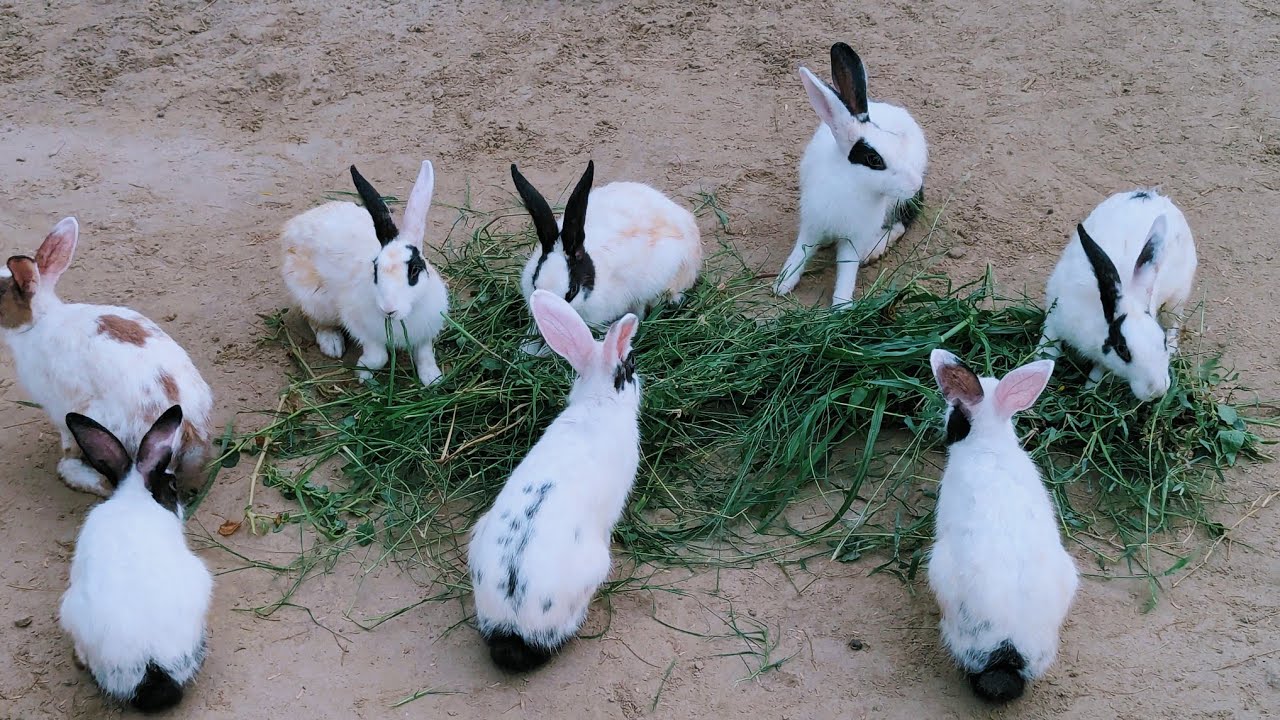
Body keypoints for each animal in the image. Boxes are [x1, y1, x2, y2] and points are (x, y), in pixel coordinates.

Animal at [280, 160, 450, 385]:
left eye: (414, 270)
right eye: (375, 269)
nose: (388, 309)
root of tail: (293, 226)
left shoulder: (426, 332)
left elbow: (425, 355)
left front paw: (433, 379)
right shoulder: (360, 328)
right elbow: (379, 357)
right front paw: (363, 372)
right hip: (316, 300)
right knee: (314, 320)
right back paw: (332, 344)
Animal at [774, 42, 928, 309]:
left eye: (895, 142)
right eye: (874, 160)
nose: (915, 183)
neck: (852, 185)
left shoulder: (854, 238)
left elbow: (847, 270)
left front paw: (841, 307)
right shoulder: (813, 223)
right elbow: (801, 251)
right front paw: (782, 283)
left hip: (902, 200)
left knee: (903, 221)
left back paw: (873, 251)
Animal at [1040, 189, 1197, 401]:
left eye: (1161, 342)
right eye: (1123, 349)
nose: (1157, 391)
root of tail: (1153, 195)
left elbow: (1099, 372)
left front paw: (1089, 391)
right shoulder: (1055, 316)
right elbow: (1048, 348)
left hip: (1177, 296)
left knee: (1175, 320)